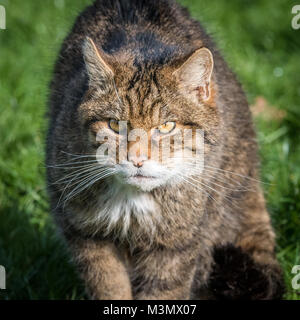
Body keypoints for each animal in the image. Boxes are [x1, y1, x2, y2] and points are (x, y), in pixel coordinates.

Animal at [46, 0, 284, 300]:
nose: (136, 159)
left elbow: (163, 291)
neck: (133, 202)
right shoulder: (85, 234)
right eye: (114, 125)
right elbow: (109, 287)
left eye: (167, 126)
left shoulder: (177, 246)